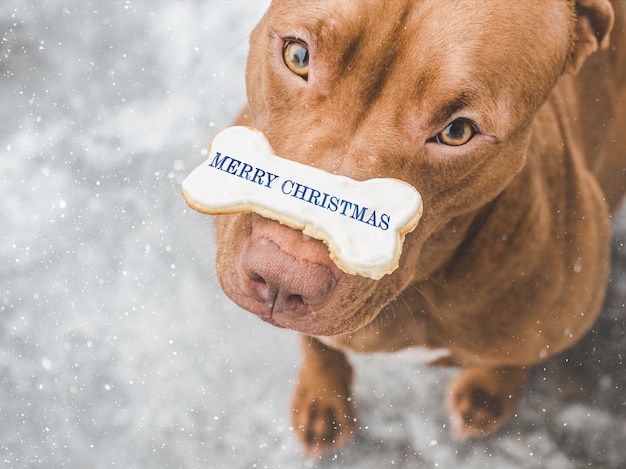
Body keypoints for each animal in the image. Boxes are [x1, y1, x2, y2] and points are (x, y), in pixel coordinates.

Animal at [208, 0, 624, 454]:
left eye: (457, 132)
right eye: (297, 56)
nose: (282, 278)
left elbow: (517, 356)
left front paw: (489, 392)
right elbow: (318, 345)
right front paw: (324, 395)